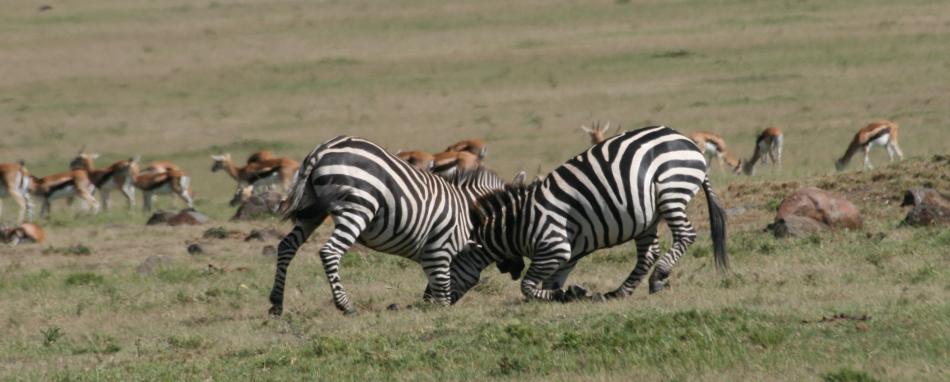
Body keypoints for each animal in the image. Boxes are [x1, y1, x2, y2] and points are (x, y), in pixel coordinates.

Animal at [270, 136, 484, 314]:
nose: (426, 301)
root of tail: (322, 150)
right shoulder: (440, 246)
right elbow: (441, 278)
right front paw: (440, 309)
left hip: (313, 209)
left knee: (287, 245)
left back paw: (276, 303)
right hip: (358, 207)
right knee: (330, 251)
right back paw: (346, 306)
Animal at [450, 127, 732, 302]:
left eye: (448, 267)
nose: (437, 303)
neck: (516, 226)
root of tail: (688, 142)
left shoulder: (554, 248)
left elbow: (528, 288)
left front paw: (567, 294)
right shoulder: (569, 253)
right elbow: (550, 283)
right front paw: (566, 294)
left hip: (671, 190)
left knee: (685, 235)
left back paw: (658, 277)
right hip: (647, 218)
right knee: (648, 254)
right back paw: (619, 292)